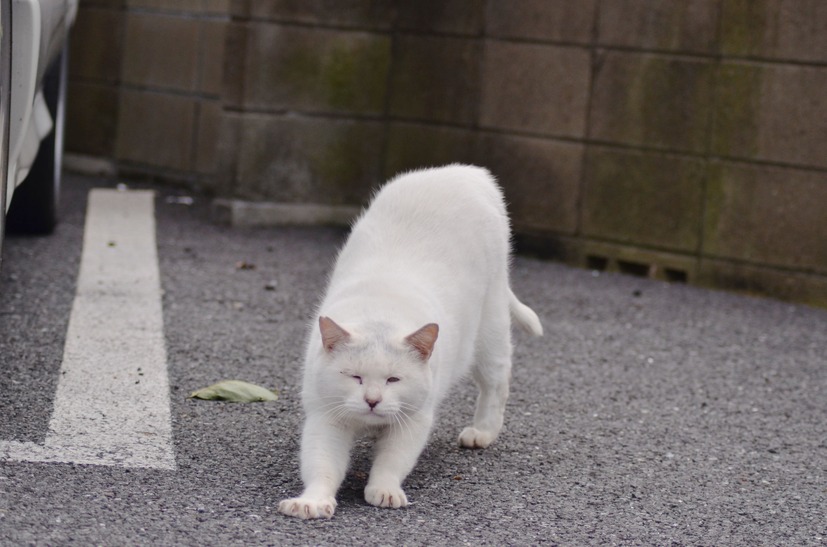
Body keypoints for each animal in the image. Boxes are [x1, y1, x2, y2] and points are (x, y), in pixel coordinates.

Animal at [278, 165, 544, 520]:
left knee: (496, 383)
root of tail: (467, 171)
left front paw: (385, 491)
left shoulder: (414, 419)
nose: (373, 400)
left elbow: (393, 461)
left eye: (394, 379)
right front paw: (313, 501)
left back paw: (483, 433)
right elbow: (322, 464)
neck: (380, 308)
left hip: (491, 328)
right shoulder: (325, 416)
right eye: (355, 377)